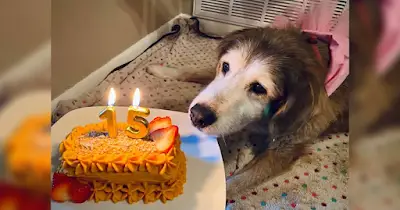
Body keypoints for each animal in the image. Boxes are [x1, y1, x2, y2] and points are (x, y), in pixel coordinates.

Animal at [148, 6, 348, 201]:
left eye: (259, 88)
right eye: (225, 66)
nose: (197, 116)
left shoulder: (284, 149)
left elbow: (235, 182)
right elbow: (197, 72)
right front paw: (161, 69)